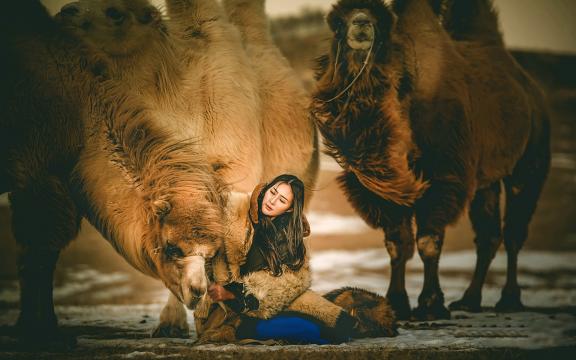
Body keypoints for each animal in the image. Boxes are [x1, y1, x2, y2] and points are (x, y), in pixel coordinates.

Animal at [2, 0, 232, 344]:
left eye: (210, 255)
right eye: (171, 247)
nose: (197, 291)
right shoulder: (35, 169)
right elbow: (39, 245)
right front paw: (39, 331)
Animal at [312, 0, 552, 320]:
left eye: (380, 22)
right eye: (338, 22)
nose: (361, 23)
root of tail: (530, 90)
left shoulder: (444, 173)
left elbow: (428, 241)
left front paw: (430, 304)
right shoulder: (384, 188)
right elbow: (397, 243)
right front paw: (397, 303)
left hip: (530, 159)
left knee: (515, 230)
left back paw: (508, 300)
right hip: (486, 178)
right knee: (488, 235)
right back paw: (469, 300)